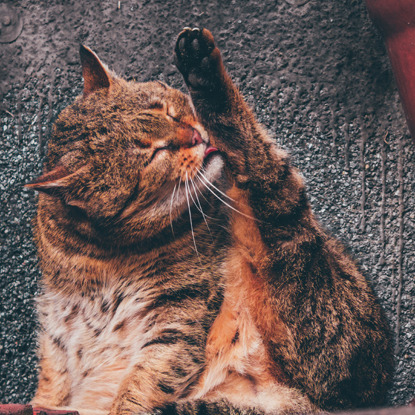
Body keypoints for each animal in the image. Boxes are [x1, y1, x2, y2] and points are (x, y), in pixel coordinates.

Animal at [27, 28, 394, 415]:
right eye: (154, 153)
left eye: (168, 110)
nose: (195, 135)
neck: (98, 254)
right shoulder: (56, 334)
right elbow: (51, 384)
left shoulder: (178, 313)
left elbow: (141, 387)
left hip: (308, 298)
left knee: (266, 175)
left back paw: (204, 73)